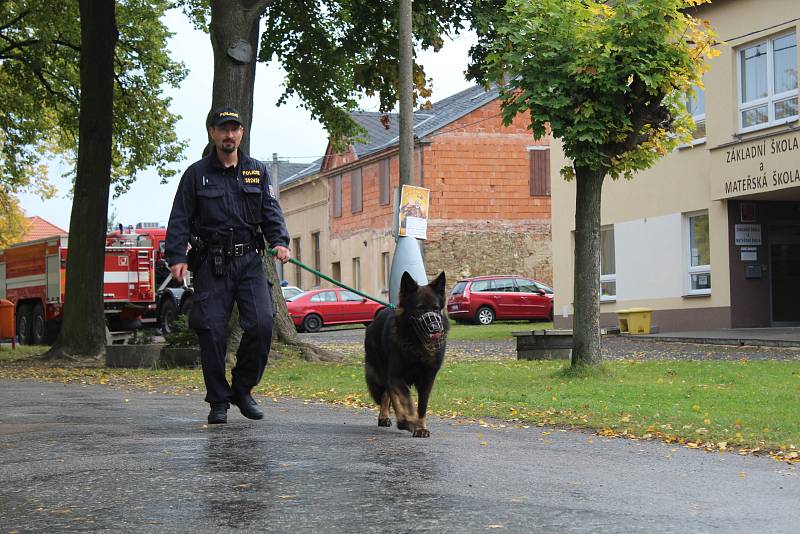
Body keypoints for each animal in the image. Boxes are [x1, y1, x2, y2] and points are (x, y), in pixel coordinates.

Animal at [364, 272, 446, 440]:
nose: (435, 328)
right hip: (384, 372)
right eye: (420, 309)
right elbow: (406, 399)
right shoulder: (396, 375)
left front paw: (421, 428)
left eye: (435, 308)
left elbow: (422, 406)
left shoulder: (428, 379)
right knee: (390, 395)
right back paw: (398, 420)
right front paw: (409, 419)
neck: (416, 342)